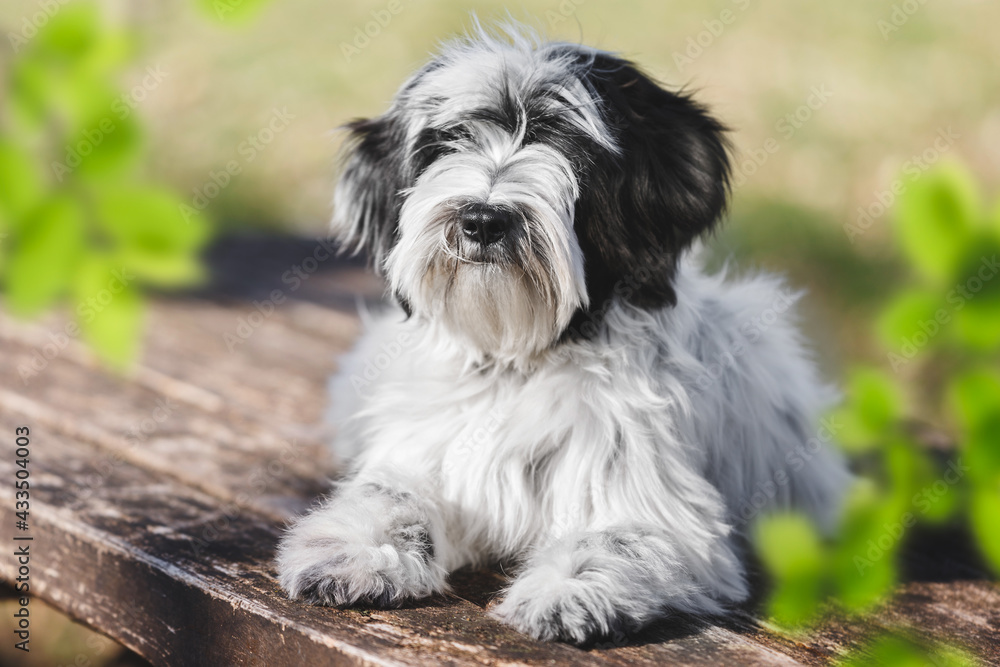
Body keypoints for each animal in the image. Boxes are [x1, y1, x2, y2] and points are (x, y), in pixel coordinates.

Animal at [276, 23, 852, 644]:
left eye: (569, 143)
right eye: (448, 141)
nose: (483, 219)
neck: (521, 358)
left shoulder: (663, 511)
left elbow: (616, 538)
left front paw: (568, 591)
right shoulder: (430, 455)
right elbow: (390, 494)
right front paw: (355, 547)